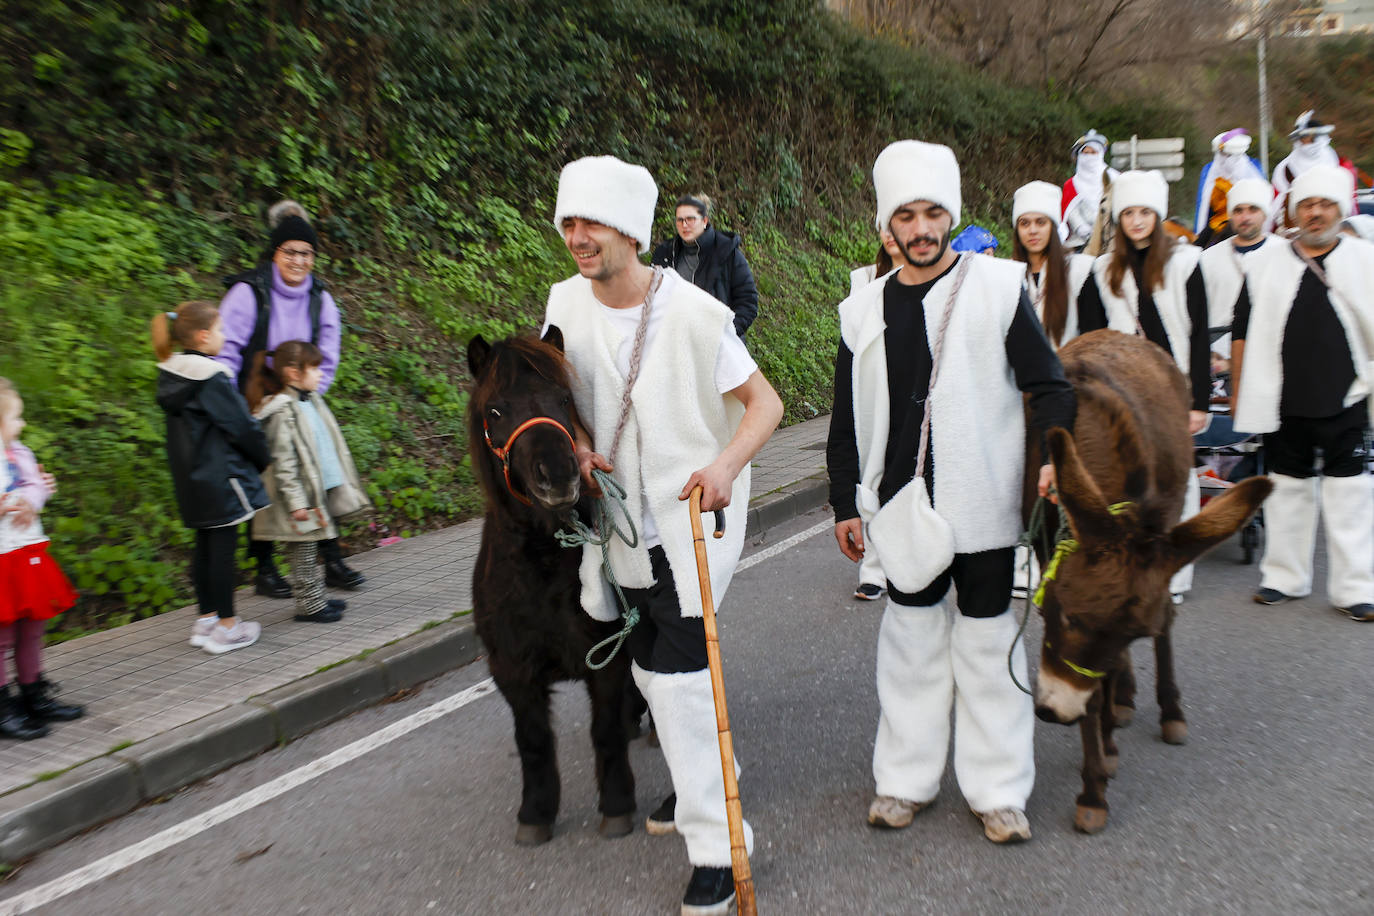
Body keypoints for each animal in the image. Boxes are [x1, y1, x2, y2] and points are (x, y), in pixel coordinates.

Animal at [461, 328, 632, 845]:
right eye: (496, 411)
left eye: (563, 399)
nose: (558, 474)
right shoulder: (512, 669)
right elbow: (533, 740)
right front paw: (535, 812)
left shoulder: (606, 658)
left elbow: (606, 730)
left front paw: (616, 804)